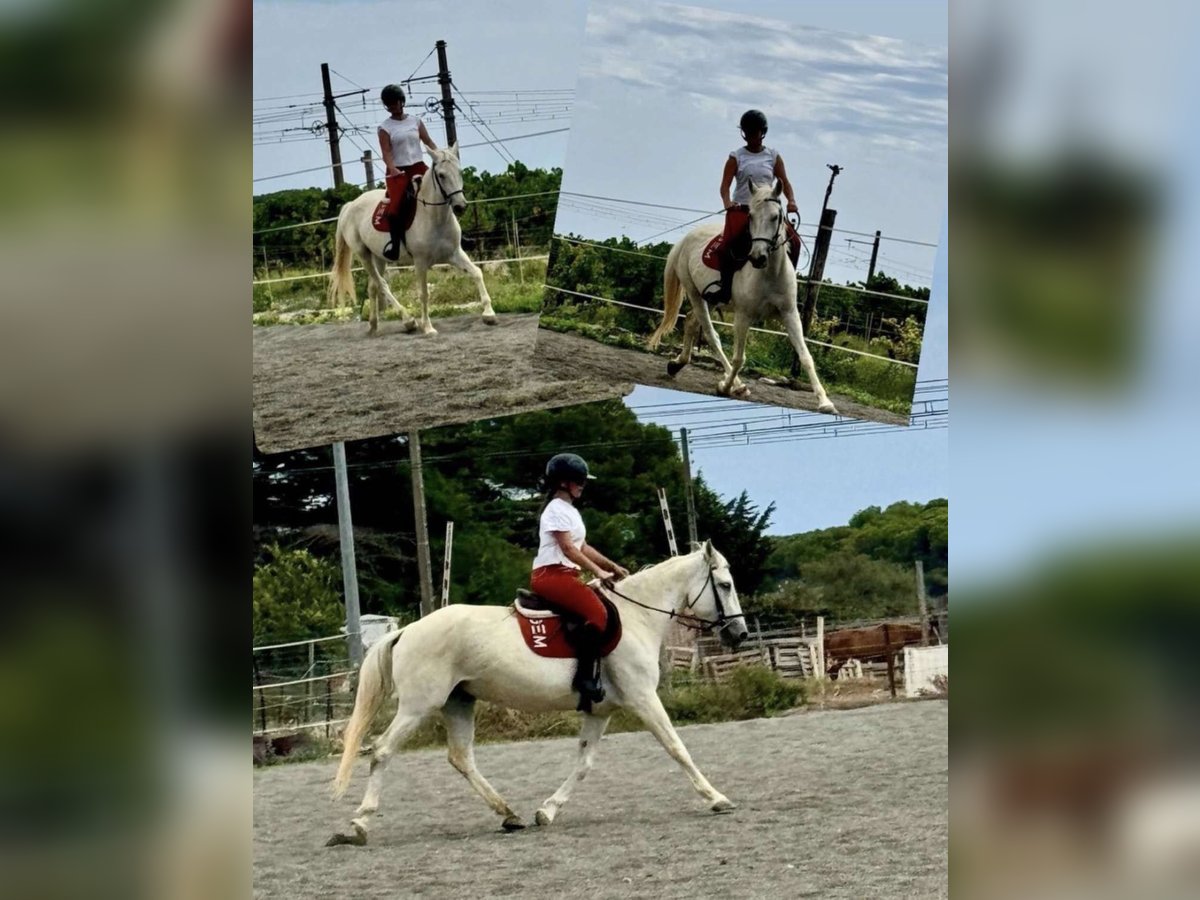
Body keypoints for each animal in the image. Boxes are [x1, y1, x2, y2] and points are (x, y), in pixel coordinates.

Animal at [324, 542, 744, 844]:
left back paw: (510, 815)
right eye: (724, 586)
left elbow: (584, 764)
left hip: (458, 702)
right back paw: (359, 825)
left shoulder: (599, 711)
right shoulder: (643, 699)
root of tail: (407, 630)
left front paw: (548, 811)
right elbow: (677, 747)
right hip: (417, 706)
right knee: (382, 750)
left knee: (461, 758)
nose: (738, 634)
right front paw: (716, 798)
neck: (637, 617)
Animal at [326, 144, 494, 336]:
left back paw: (374, 325)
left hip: (379, 257)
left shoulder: (454, 254)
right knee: (382, 284)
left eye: (459, 172)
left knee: (373, 286)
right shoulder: (420, 262)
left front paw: (489, 314)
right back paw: (408, 320)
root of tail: (350, 205)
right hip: (363, 254)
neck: (433, 217)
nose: (460, 206)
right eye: (441, 175)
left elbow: (477, 273)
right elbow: (423, 293)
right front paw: (427, 327)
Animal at [648, 183, 835, 415]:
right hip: (694, 293)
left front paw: (825, 402)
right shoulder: (743, 316)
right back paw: (736, 384)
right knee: (711, 335)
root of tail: (685, 240)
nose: (757, 257)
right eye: (750, 217)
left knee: (691, 321)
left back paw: (677, 364)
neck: (769, 273)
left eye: (776, 217)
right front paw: (726, 387)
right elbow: (739, 358)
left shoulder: (790, 314)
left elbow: (806, 356)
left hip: (709, 299)